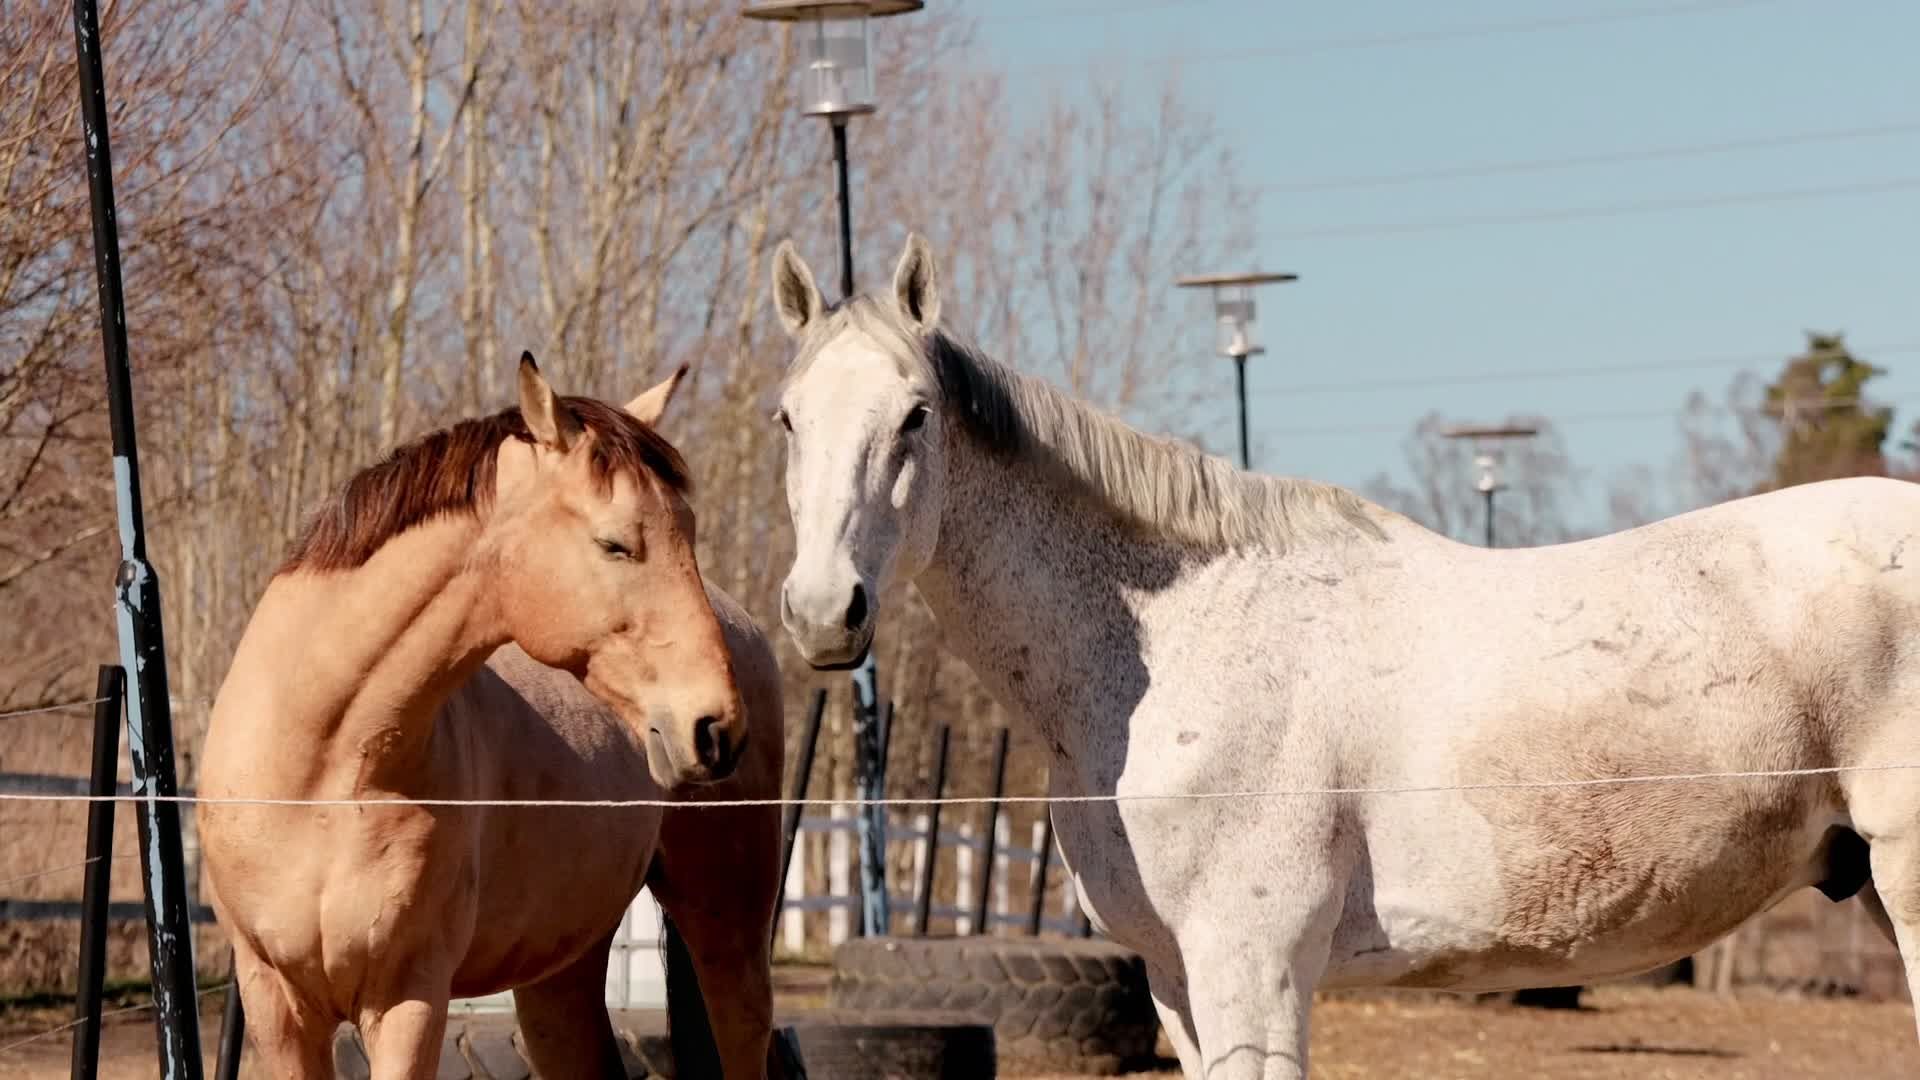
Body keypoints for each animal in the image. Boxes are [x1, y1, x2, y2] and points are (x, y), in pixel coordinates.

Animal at [197, 355, 787, 1079]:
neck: (325, 773)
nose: (716, 727)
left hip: (728, 928)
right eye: (615, 545)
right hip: (560, 972)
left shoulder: (408, 999)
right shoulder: (276, 1008)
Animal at [763, 231, 1920, 1079]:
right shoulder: (1177, 979)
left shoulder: (1254, 967)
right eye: (785, 419)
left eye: (915, 416)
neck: (1176, 649)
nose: (824, 612)